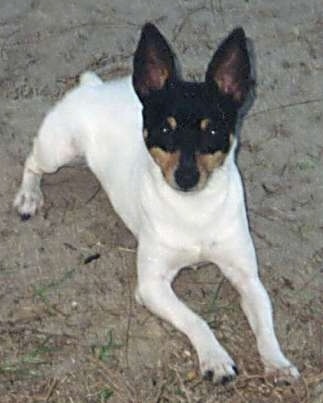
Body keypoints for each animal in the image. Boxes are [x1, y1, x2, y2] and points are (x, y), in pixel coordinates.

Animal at [13, 23, 300, 384]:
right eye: (166, 128)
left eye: (213, 131)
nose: (186, 177)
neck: (194, 210)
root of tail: (94, 86)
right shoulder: (151, 286)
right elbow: (195, 319)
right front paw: (215, 357)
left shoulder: (247, 277)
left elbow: (264, 322)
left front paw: (277, 361)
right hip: (59, 151)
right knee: (32, 163)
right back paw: (28, 196)